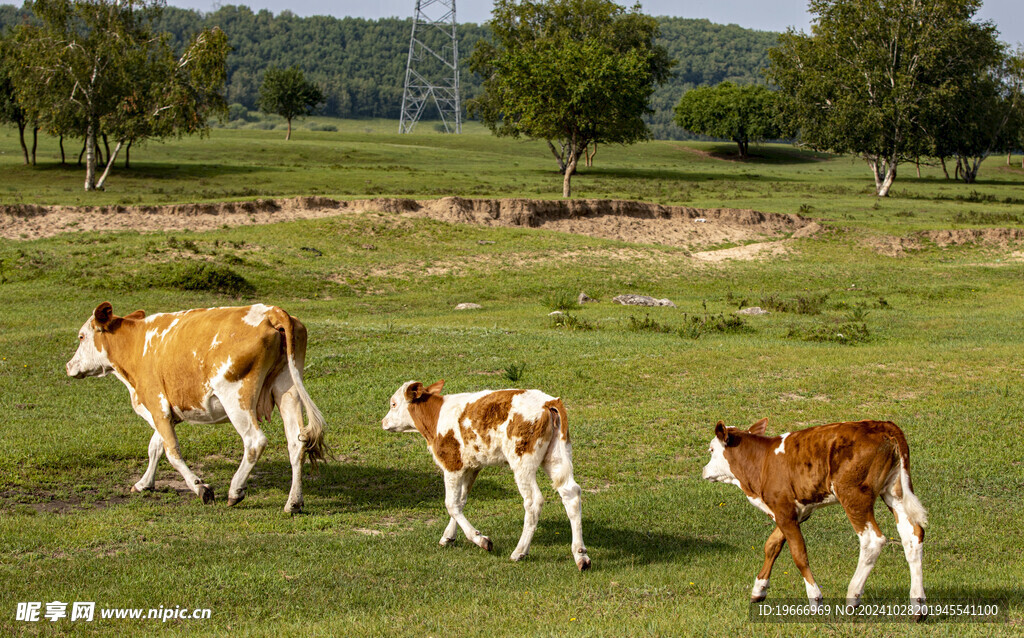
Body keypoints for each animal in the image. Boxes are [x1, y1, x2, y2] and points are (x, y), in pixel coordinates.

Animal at [66, 301, 327, 514]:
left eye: (81, 337)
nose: (68, 365)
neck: (135, 345)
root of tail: (272, 312)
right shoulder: (165, 412)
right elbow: (155, 447)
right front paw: (144, 483)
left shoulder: (156, 404)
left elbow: (171, 451)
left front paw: (201, 488)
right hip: (286, 389)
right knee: (296, 442)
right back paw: (293, 502)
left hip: (235, 396)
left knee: (255, 441)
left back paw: (235, 490)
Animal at [382, 380, 593, 573]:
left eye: (393, 404)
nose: (383, 422)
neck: (437, 416)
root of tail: (548, 402)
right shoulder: (471, 467)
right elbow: (460, 501)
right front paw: (448, 536)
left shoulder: (452, 464)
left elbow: (451, 504)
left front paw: (480, 539)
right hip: (556, 456)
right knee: (571, 494)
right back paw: (581, 555)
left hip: (522, 462)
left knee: (534, 501)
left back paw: (519, 551)